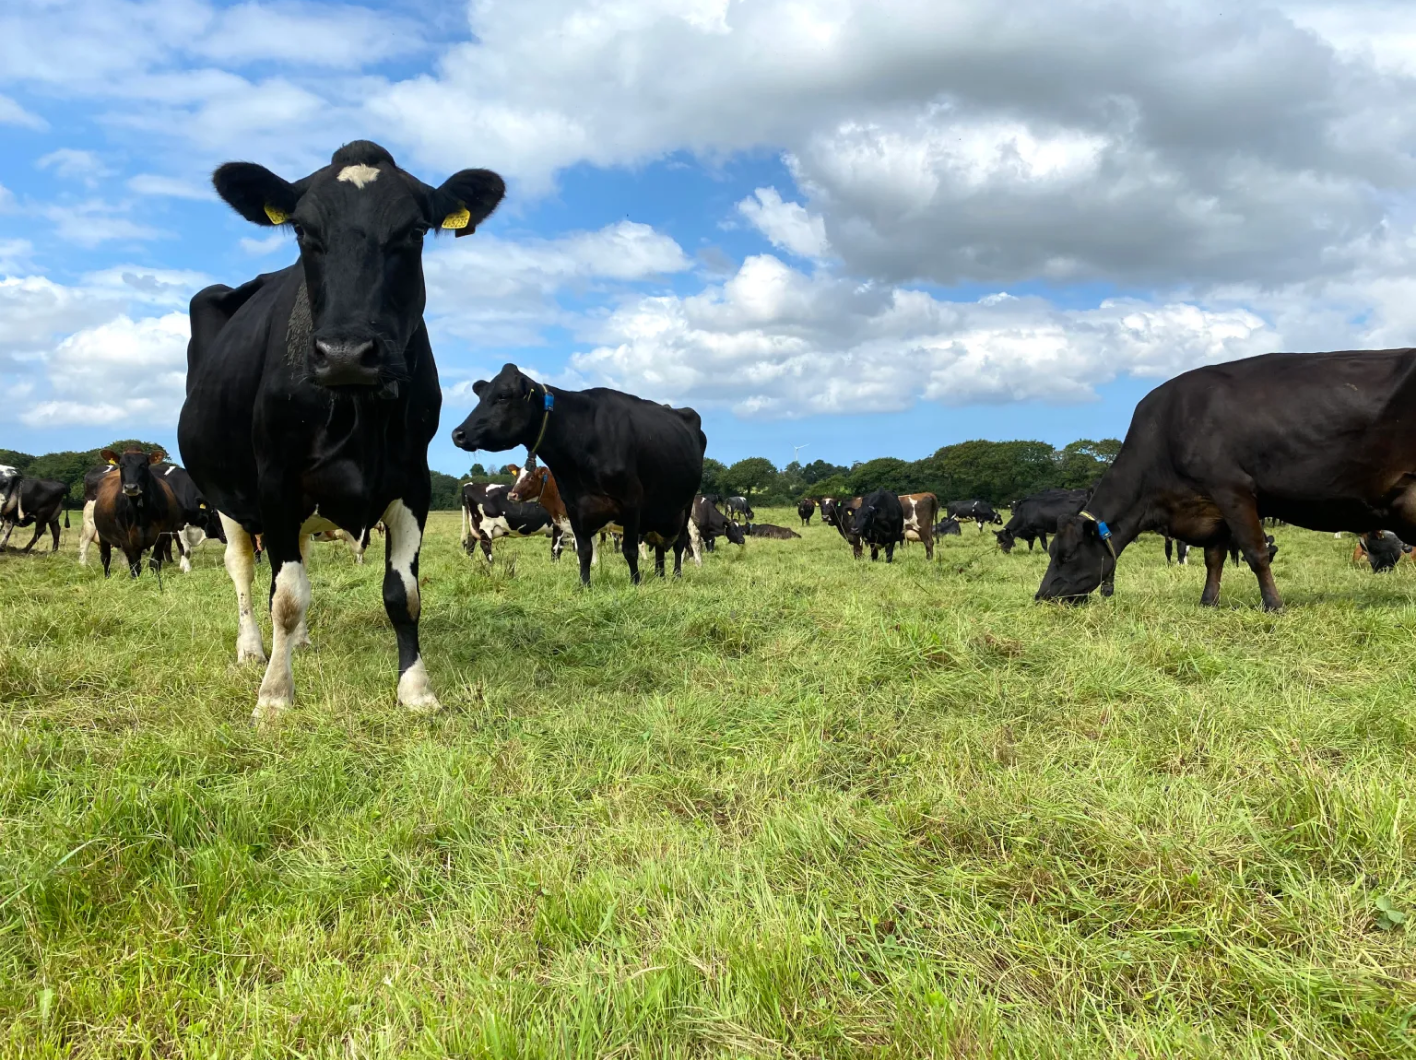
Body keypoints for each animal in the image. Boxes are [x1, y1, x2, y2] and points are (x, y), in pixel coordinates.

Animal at [92, 448, 181, 578]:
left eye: (143, 465)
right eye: (122, 465)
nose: (130, 487)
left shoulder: (163, 533)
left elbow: (155, 562)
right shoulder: (125, 537)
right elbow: (134, 566)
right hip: (102, 534)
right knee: (105, 558)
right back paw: (107, 577)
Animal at [178, 140, 506, 719]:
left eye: (414, 231)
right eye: (303, 231)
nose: (347, 353)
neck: (358, 413)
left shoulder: (412, 481)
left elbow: (403, 595)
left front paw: (416, 689)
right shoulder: (276, 484)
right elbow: (284, 598)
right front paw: (274, 694)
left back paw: (301, 642)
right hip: (225, 496)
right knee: (243, 573)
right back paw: (253, 650)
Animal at [451, 364, 704, 584]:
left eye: (503, 396)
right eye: (481, 396)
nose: (458, 434)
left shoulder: (631, 501)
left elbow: (629, 550)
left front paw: (635, 583)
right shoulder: (574, 506)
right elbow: (584, 551)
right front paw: (585, 585)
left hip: (685, 505)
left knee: (680, 543)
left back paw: (676, 575)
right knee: (660, 545)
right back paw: (660, 575)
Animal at [1037, 348, 1416, 611]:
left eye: (1066, 555)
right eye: (1052, 551)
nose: (1041, 596)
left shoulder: (1232, 490)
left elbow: (1255, 552)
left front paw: (1274, 605)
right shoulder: (1211, 505)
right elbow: (1213, 557)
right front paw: (1208, 601)